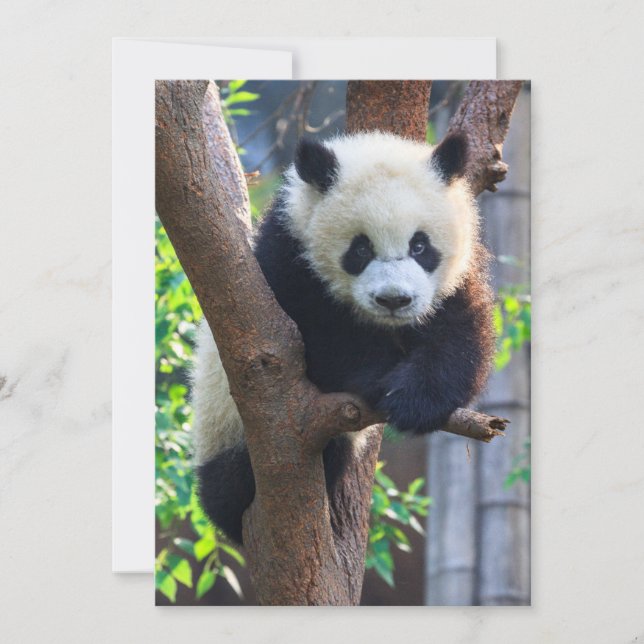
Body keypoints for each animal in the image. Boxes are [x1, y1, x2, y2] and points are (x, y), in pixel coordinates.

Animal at [191, 131, 495, 544]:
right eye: (361, 248)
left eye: (420, 246)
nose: (394, 300)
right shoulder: (286, 263)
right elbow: (316, 342)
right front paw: (380, 381)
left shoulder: (455, 279)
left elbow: (459, 335)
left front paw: (415, 401)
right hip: (224, 426)